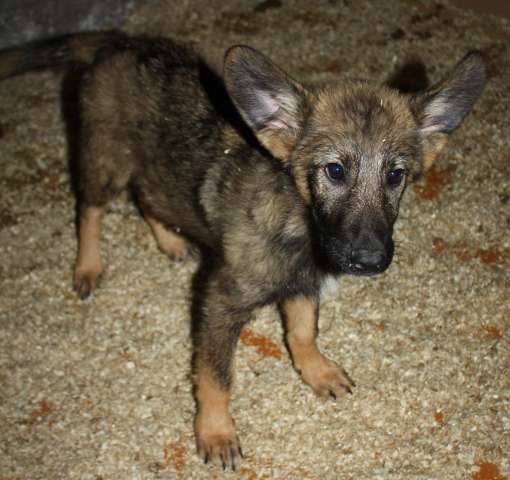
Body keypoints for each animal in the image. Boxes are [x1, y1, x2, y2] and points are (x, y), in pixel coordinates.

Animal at [0, 33, 486, 468]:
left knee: (146, 197)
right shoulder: (220, 303)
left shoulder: (302, 284)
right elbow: (216, 377)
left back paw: (171, 240)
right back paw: (88, 266)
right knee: (89, 208)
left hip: (153, 169)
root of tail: (119, 42)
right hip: (106, 160)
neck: (299, 223)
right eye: (334, 171)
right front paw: (215, 432)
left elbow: (303, 332)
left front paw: (316, 370)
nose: (369, 261)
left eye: (395, 175)